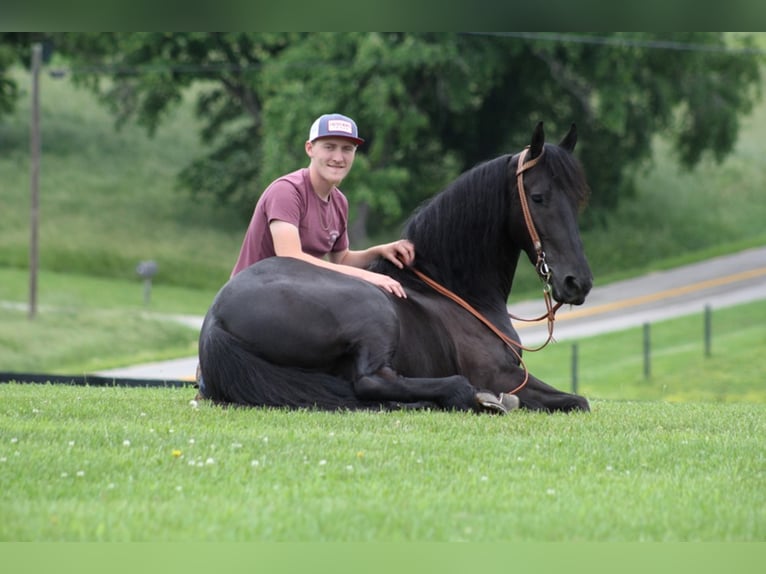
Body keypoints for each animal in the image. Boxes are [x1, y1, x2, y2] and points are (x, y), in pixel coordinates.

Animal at [198, 124, 592, 416]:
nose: (578, 282)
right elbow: (578, 400)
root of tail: (215, 318)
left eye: (577, 199)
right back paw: (465, 396)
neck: (456, 291)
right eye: (538, 197)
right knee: (372, 381)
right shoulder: (504, 375)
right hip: (375, 311)